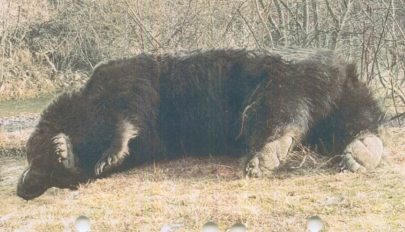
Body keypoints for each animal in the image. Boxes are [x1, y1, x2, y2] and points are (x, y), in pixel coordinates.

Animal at [15, 48, 382, 199]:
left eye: (32, 158)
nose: (23, 187)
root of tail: (342, 71)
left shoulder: (123, 82)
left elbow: (128, 114)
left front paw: (75, 150)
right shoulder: (153, 138)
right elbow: (127, 147)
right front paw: (68, 153)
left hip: (287, 75)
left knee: (277, 107)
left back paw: (265, 156)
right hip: (343, 94)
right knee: (354, 120)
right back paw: (361, 152)